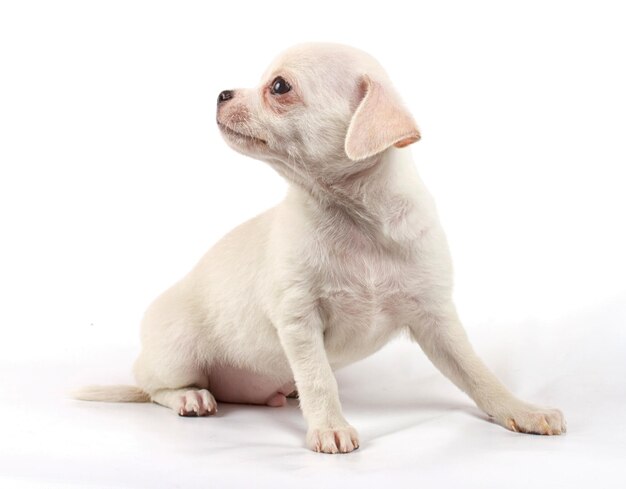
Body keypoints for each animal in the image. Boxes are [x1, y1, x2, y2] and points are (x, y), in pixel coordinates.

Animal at [75, 43, 564, 454]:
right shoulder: (298, 318)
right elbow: (318, 379)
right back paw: (191, 397)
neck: (355, 220)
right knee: (153, 387)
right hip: (175, 352)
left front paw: (521, 411)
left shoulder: (436, 316)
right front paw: (329, 427)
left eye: (279, 86)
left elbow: (477, 373)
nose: (220, 93)